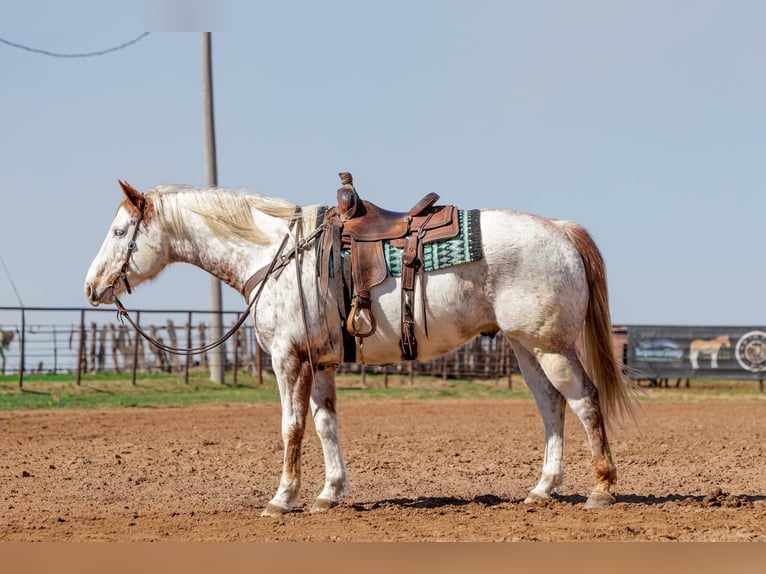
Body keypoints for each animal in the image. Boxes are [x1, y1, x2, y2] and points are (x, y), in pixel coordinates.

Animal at [84, 180, 636, 514]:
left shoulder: (288, 359)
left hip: (551, 346)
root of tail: (560, 230)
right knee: (552, 407)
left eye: (118, 230)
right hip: (525, 347)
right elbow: (326, 424)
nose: (91, 287)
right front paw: (329, 494)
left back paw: (601, 489)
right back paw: (542, 489)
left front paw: (282, 498)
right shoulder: (321, 363)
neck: (277, 255)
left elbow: (291, 427)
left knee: (584, 401)